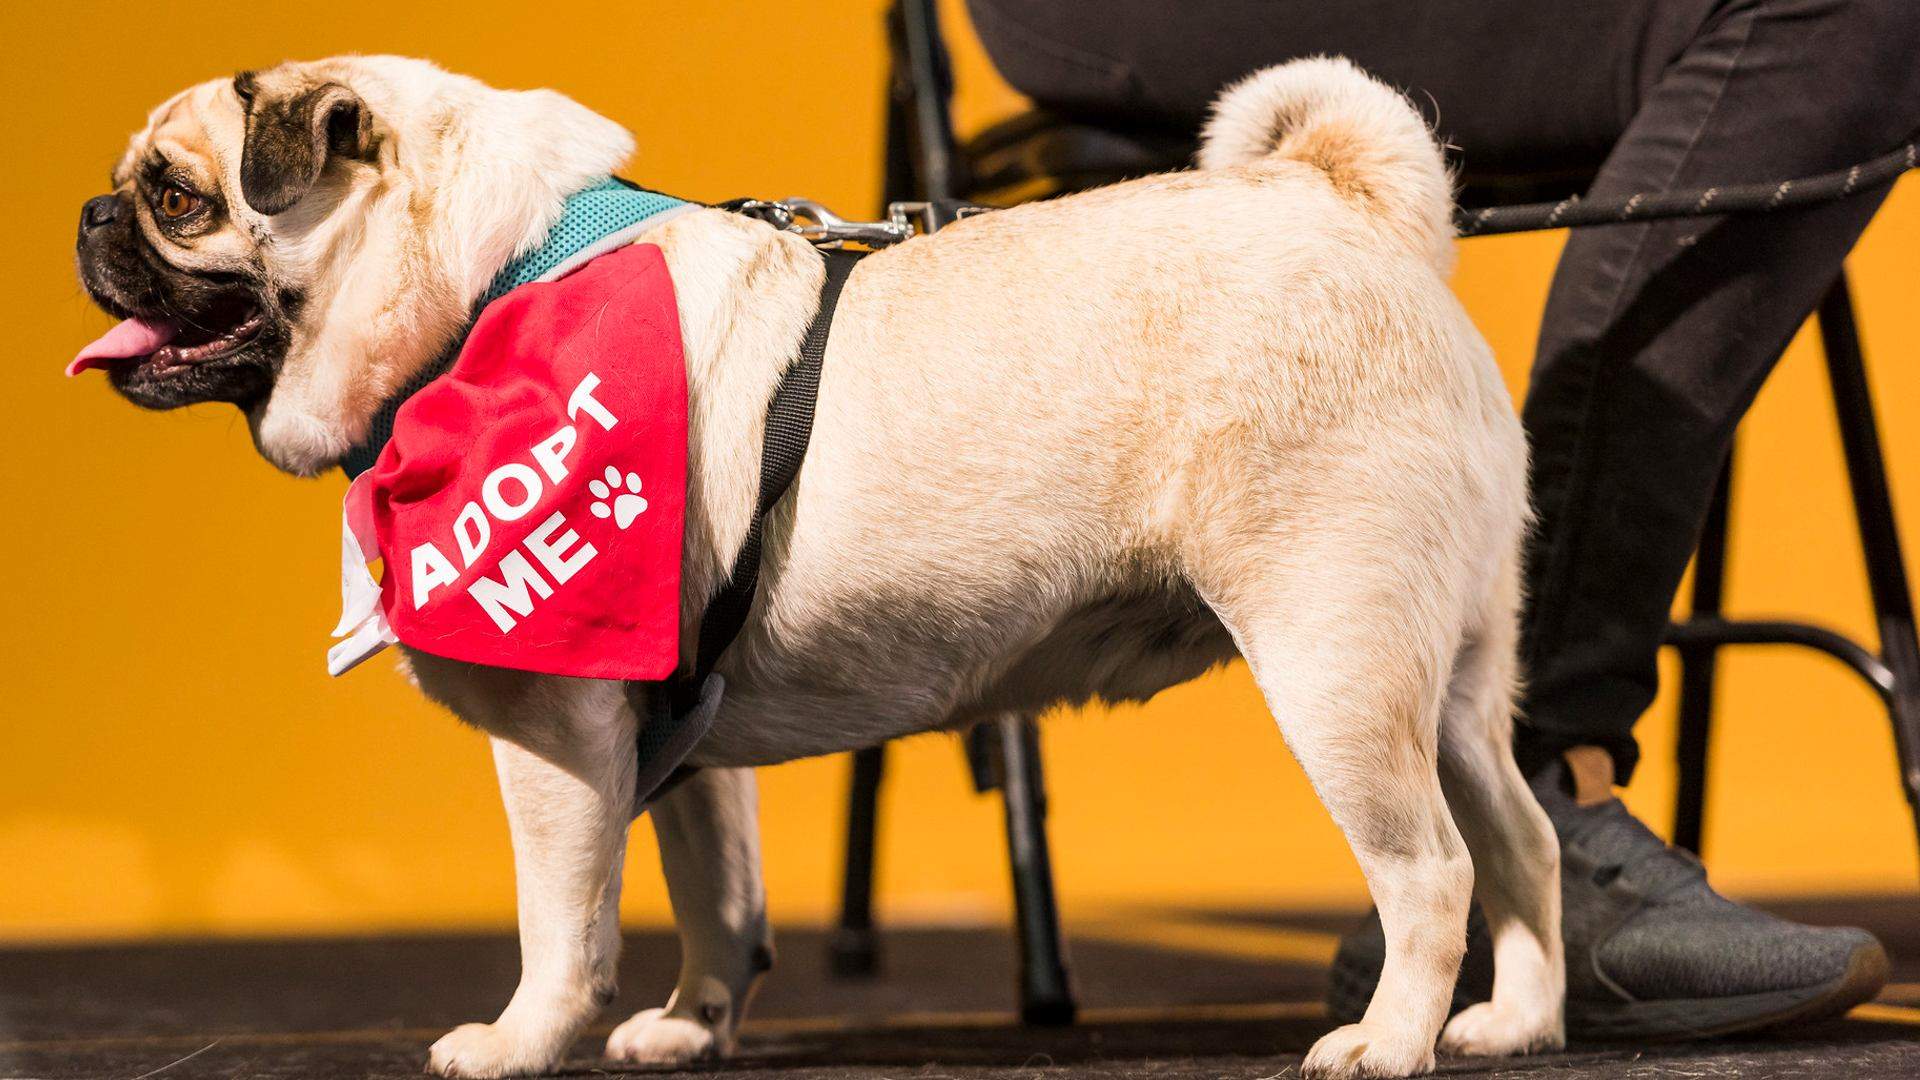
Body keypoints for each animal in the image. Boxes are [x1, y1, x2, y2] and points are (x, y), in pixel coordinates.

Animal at [74, 52, 1566, 1076]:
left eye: (176, 197)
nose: (89, 216)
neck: (490, 286)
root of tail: (1347, 209)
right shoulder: (670, 729)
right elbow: (715, 895)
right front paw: (692, 1023)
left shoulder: (557, 734)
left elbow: (564, 923)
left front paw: (521, 1039)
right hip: (1456, 675)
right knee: (1522, 837)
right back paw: (1517, 1020)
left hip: (1335, 659)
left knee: (1431, 871)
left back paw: (1389, 1041)